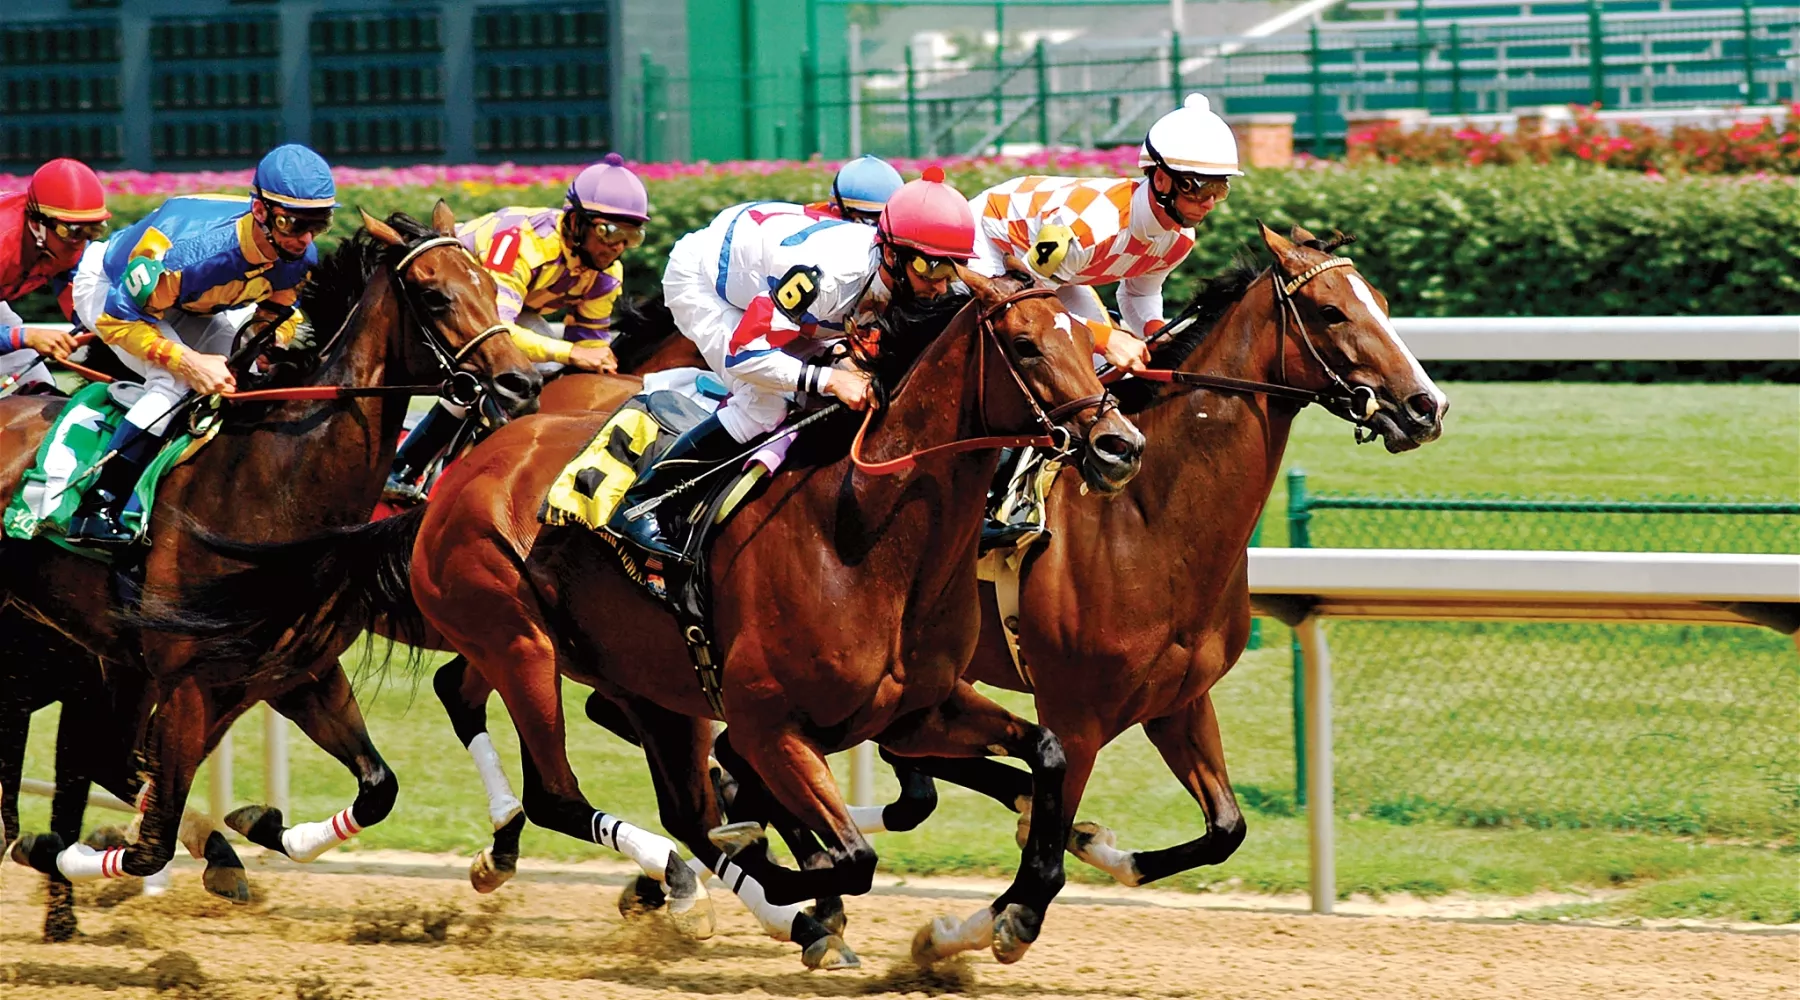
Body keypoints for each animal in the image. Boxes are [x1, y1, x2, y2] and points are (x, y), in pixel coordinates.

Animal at [0, 204, 542, 901]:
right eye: (433, 295)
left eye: (490, 287)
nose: (521, 382)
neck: (271, 480)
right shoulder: (189, 680)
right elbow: (149, 842)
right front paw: (56, 849)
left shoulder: (297, 671)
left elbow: (378, 788)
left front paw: (258, 824)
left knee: (112, 757)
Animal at [145, 266, 1148, 968]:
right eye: (1026, 347)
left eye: (1089, 331)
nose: (1119, 444)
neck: (864, 534)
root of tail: (454, 486)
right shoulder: (768, 721)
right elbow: (846, 852)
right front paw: (791, 881)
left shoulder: (914, 711)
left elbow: (1046, 754)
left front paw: (1023, 901)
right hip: (517, 638)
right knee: (561, 790)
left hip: (652, 682)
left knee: (671, 802)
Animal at [846, 225, 1448, 951]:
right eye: (1332, 311)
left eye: (1382, 301)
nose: (1427, 406)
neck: (1147, 520)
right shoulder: (1074, 717)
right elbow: (1035, 878)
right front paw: (954, 937)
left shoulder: (1179, 702)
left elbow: (1225, 828)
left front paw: (1098, 849)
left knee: (909, 763)